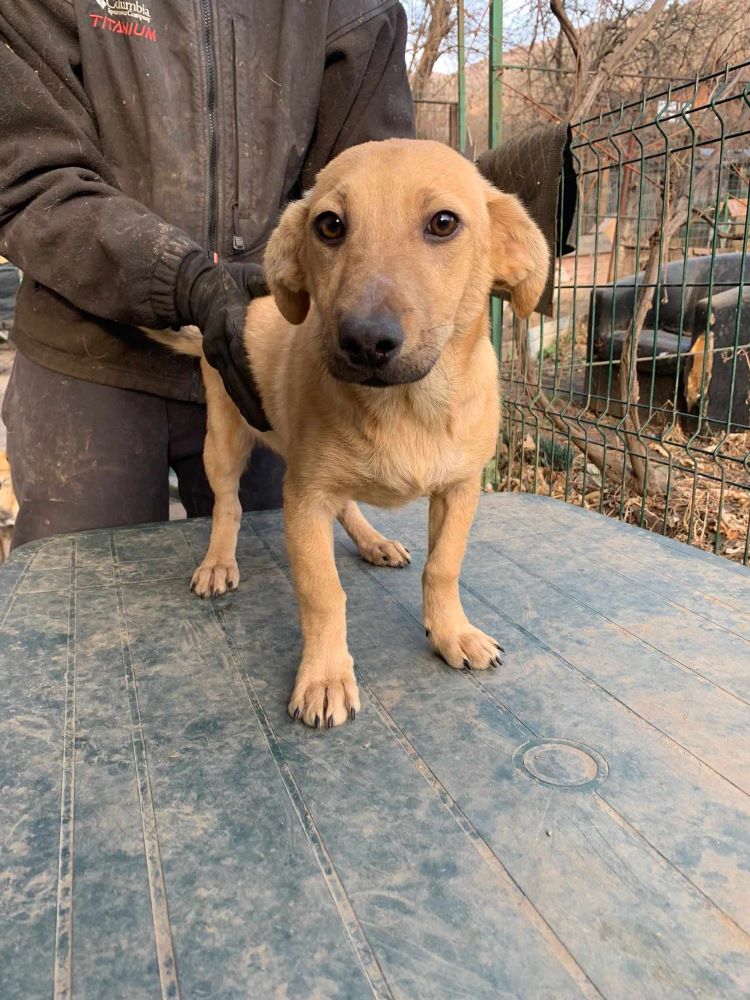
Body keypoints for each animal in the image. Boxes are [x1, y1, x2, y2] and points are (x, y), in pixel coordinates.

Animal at [150, 139, 548, 728]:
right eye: (330, 225)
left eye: (444, 223)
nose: (365, 341)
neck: (408, 407)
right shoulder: (304, 498)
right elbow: (323, 593)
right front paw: (325, 677)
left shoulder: (460, 488)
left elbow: (443, 567)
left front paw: (452, 632)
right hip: (223, 438)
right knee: (228, 506)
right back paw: (219, 560)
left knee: (348, 505)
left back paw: (373, 541)